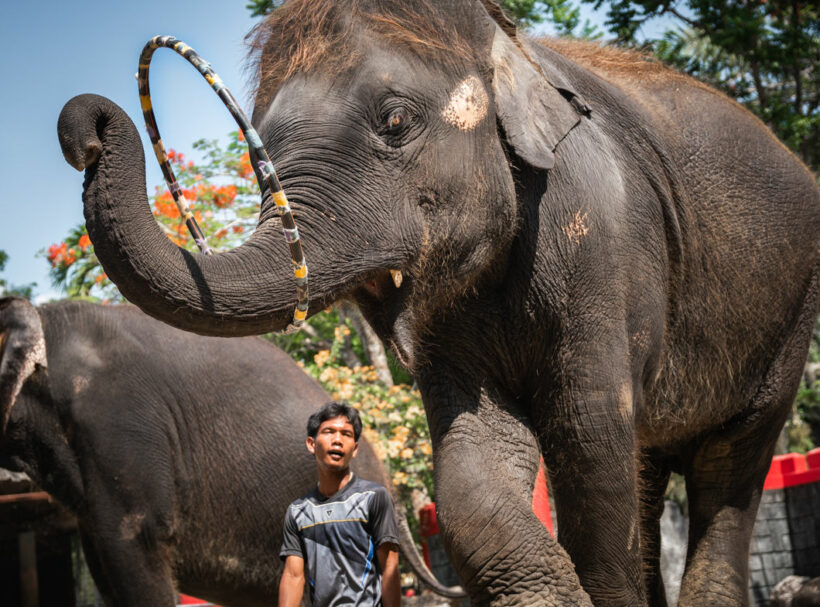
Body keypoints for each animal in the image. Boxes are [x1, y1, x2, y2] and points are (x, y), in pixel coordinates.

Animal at [57, 0, 820, 604]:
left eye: (395, 120)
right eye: (258, 156)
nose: (85, 127)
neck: (503, 44)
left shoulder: (602, 242)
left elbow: (589, 440)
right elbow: (471, 466)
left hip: (792, 313)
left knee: (727, 468)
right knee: (653, 463)